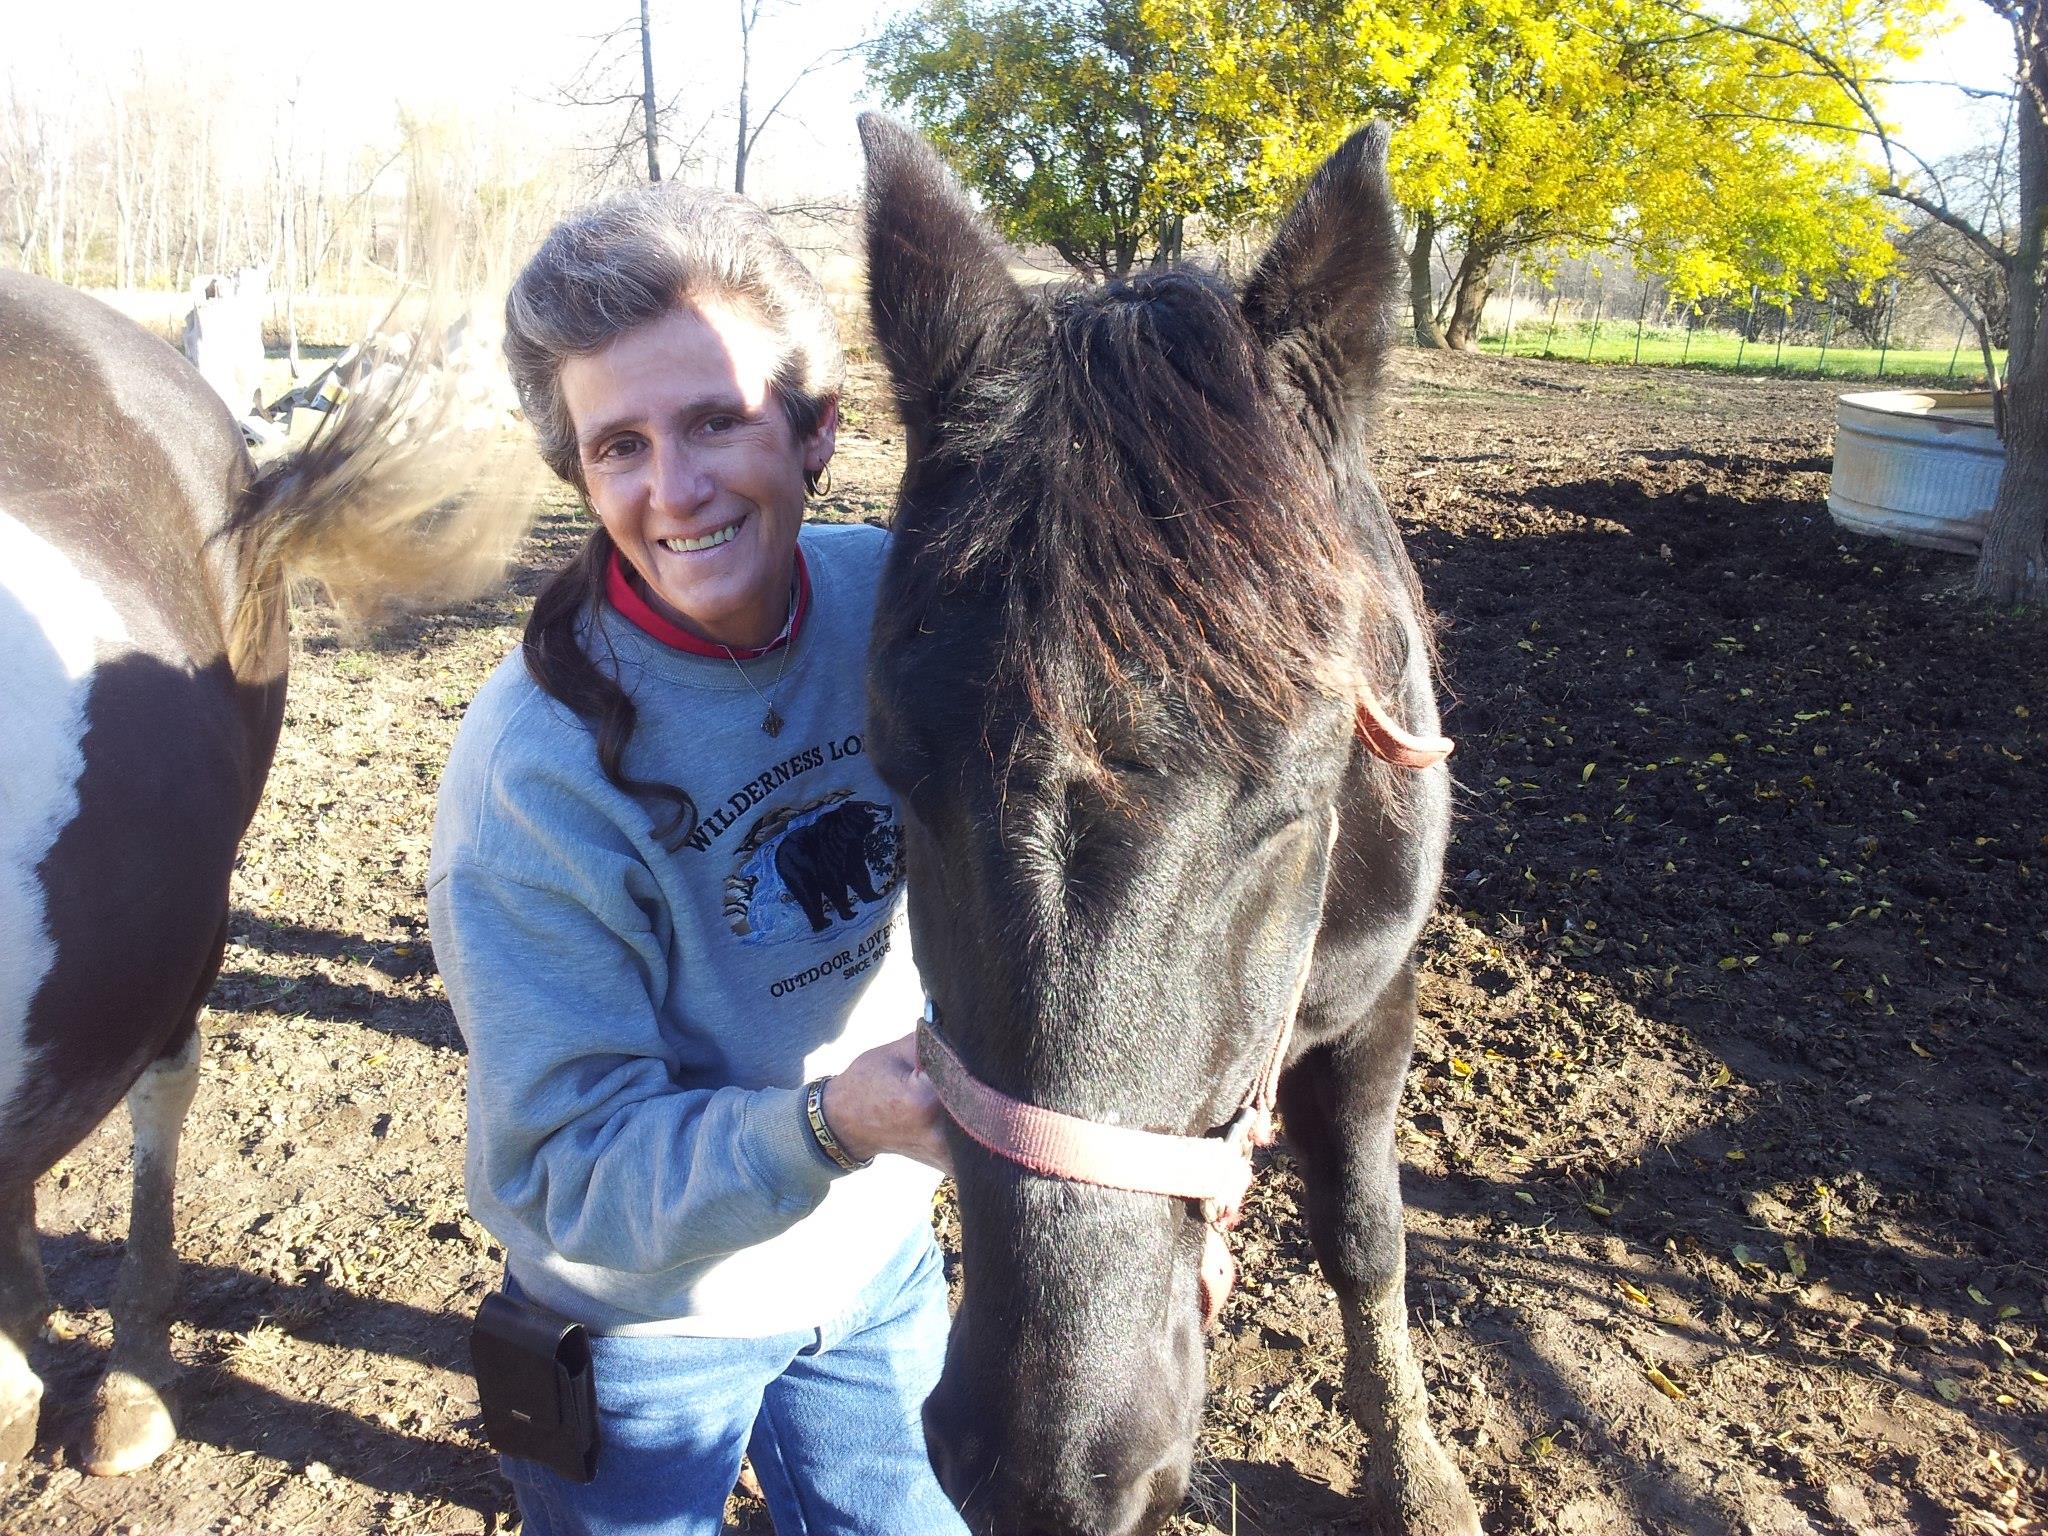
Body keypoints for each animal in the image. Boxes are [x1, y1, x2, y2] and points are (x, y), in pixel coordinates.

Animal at [856, 123, 1482, 1536]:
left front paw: (1415, 1473)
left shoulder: (1378, 999)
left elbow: (1365, 1229)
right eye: (896, 777)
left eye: (1304, 793)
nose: (1046, 1474)